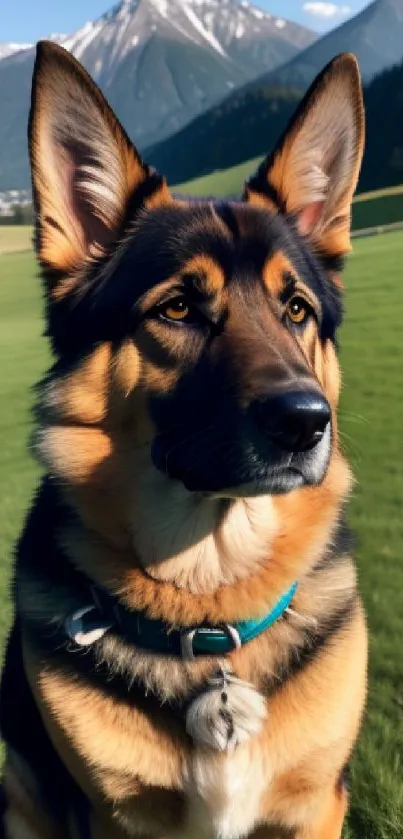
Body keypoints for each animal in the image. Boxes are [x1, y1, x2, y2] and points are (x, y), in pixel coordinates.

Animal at [0, 44, 366, 839]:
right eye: (177, 309)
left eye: (296, 308)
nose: (305, 420)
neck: (211, 607)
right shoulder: (109, 816)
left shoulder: (317, 807)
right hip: (23, 791)